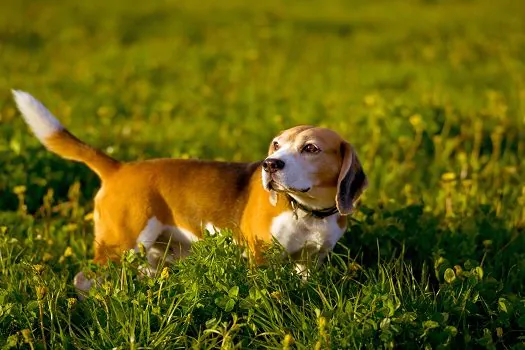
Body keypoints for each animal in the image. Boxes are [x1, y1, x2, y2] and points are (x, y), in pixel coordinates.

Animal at [11, 90, 364, 290]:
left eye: (311, 148)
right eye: (277, 144)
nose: (269, 164)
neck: (307, 211)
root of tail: (119, 168)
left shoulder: (312, 261)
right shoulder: (260, 256)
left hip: (155, 253)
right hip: (121, 244)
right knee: (84, 278)